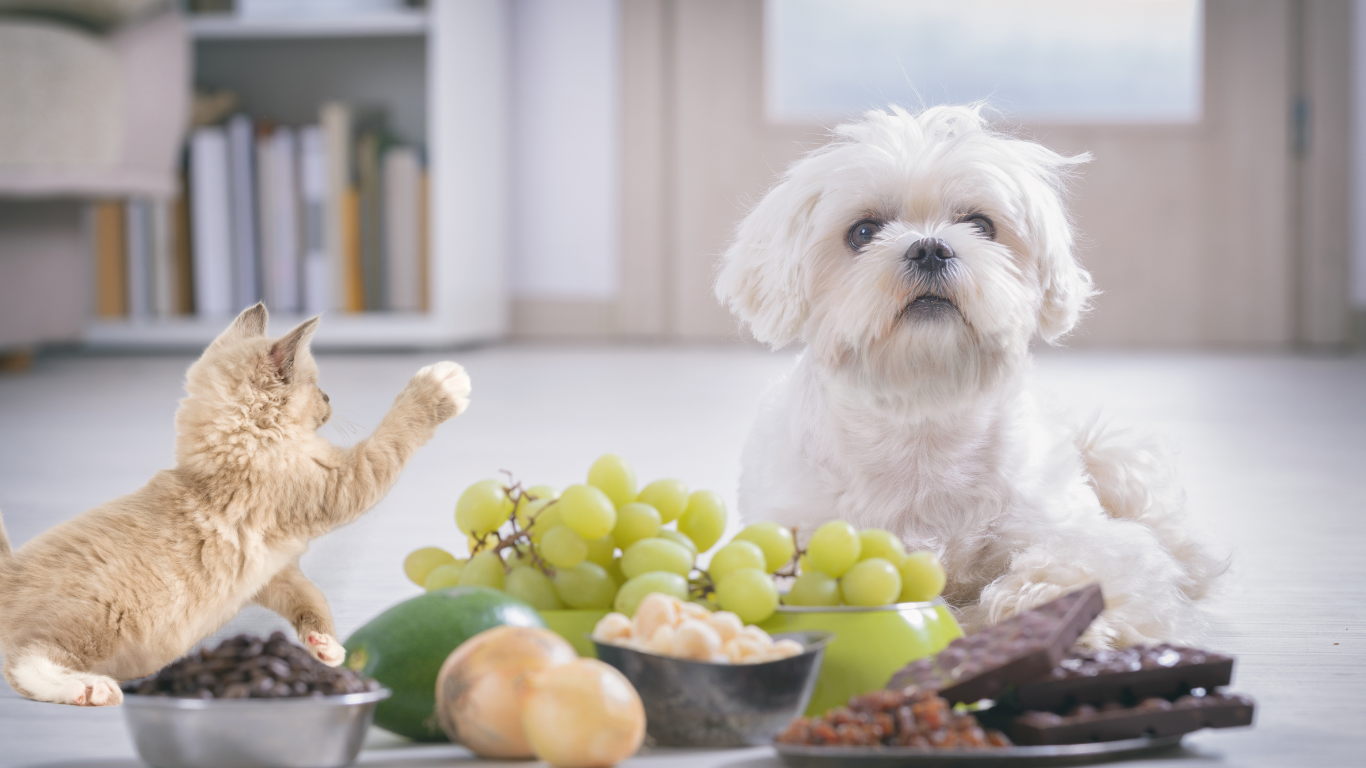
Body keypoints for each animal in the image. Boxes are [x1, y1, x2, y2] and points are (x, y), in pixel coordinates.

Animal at [0, 302, 469, 705]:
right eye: (317, 386)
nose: (329, 400)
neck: (238, 447)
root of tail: (10, 569)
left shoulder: (272, 572)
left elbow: (310, 596)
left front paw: (324, 645)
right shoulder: (345, 482)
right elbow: (392, 435)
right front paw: (440, 385)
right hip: (97, 619)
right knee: (25, 662)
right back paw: (89, 687)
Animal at [721, 105, 1223, 645]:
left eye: (981, 225)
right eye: (863, 232)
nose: (929, 248)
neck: (924, 416)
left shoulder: (1073, 530)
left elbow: (1085, 565)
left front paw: (1044, 609)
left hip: (1109, 455)